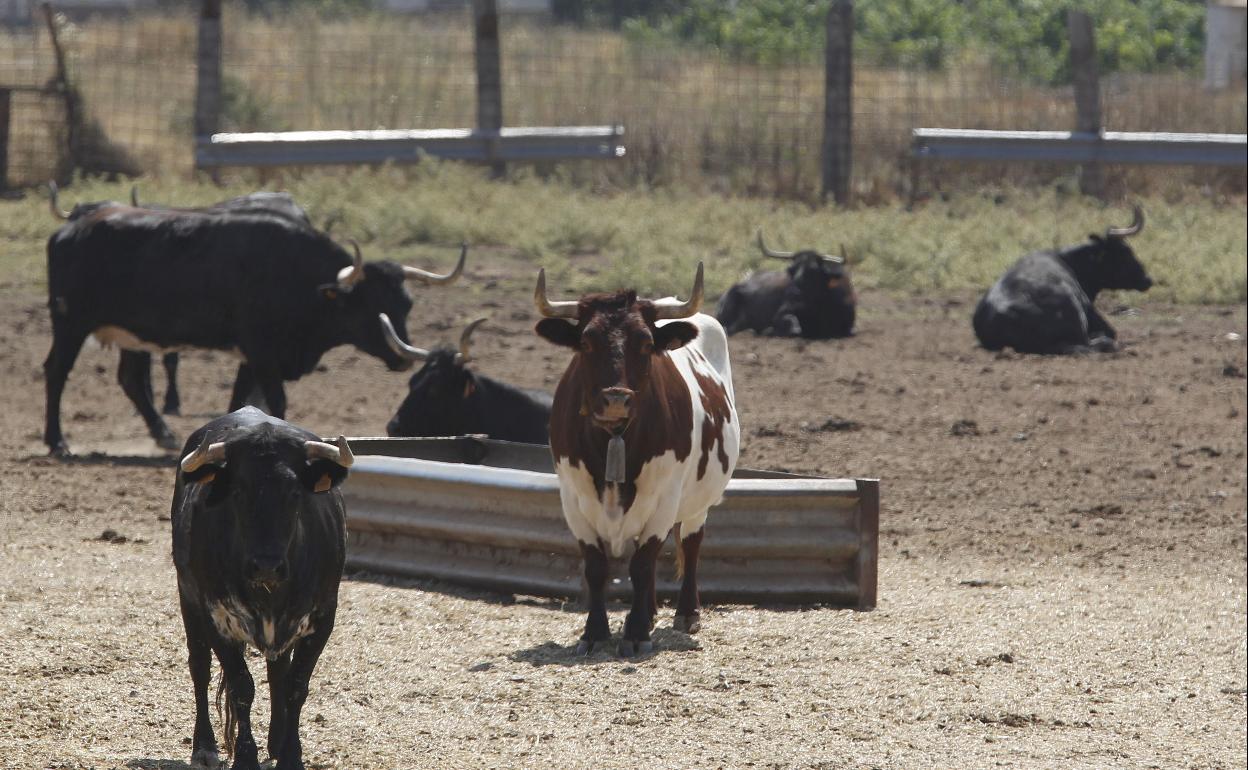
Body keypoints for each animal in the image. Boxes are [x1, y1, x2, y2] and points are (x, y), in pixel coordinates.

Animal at [168, 404, 349, 763]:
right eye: (238, 491)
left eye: (294, 492)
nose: (267, 565)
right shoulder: (215, 618)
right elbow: (241, 687)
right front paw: (245, 756)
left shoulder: (323, 617)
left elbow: (296, 686)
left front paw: (291, 755)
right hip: (188, 599)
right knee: (200, 667)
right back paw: (204, 746)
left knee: (277, 671)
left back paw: (277, 741)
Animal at [531, 264, 733, 653]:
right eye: (587, 341)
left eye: (645, 343)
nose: (615, 399)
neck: (614, 438)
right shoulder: (573, 500)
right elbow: (597, 567)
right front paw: (595, 632)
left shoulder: (664, 497)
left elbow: (642, 564)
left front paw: (637, 632)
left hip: (698, 500)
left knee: (690, 543)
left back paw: (686, 613)